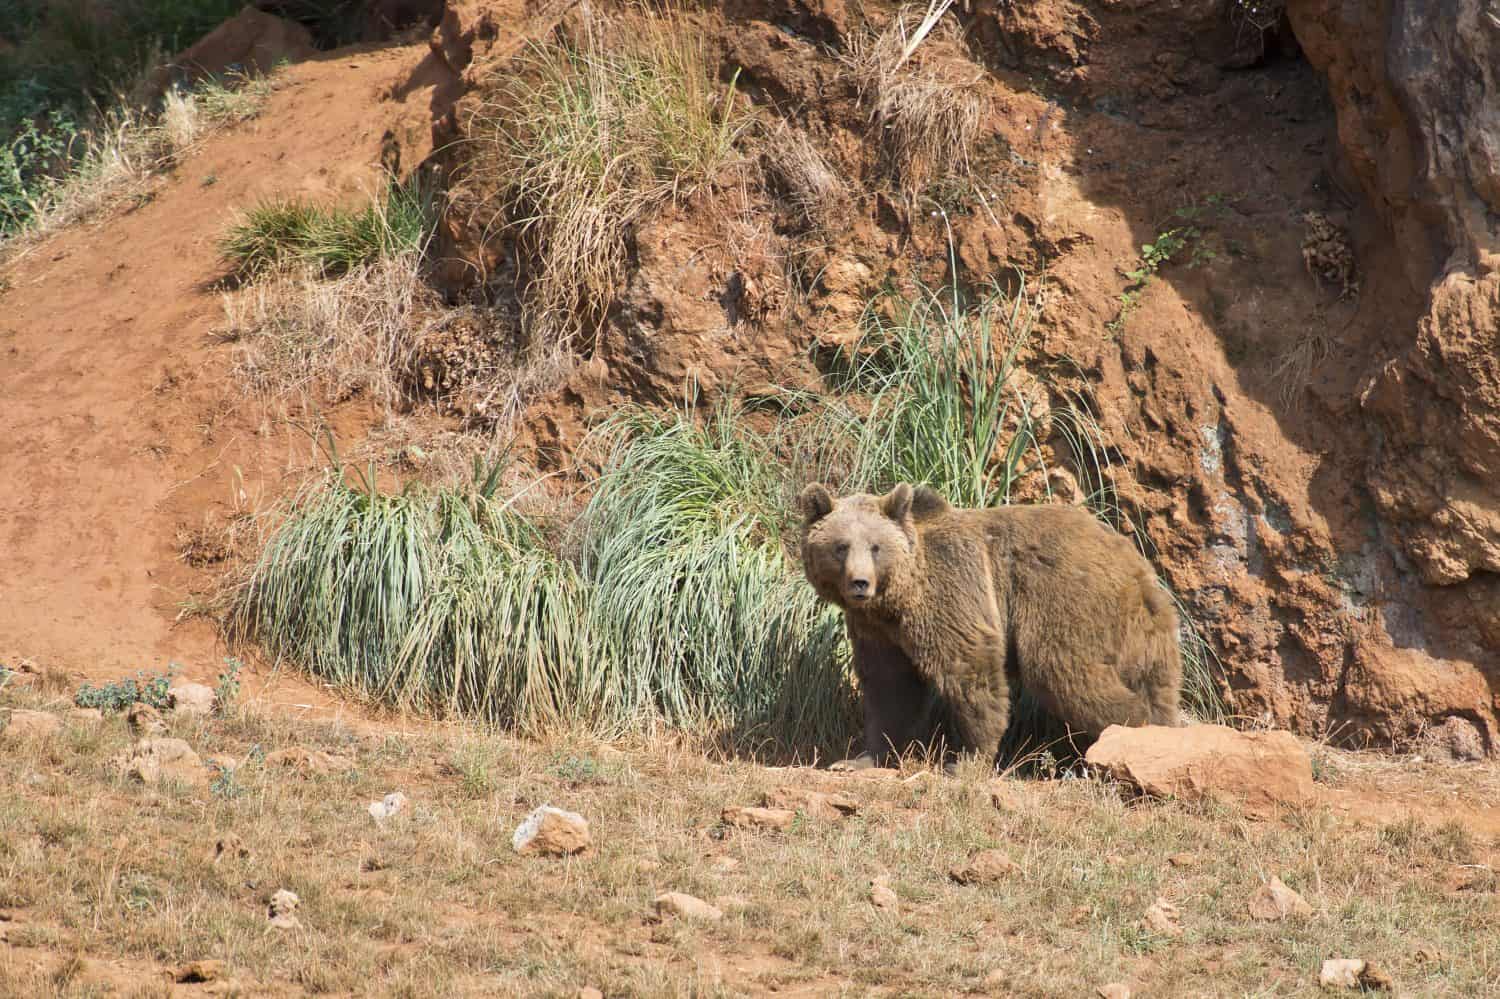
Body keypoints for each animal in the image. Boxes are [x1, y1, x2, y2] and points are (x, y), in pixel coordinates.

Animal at [798, 482, 1182, 771]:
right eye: (841, 547)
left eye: (875, 547)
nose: (860, 583)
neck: (897, 600)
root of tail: (1136, 563)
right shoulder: (878, 632)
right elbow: (889, 687)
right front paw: (858, 759)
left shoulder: (951, 591)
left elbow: (970, 668)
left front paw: (966, 759)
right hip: (1146, 632)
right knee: (1154, 680)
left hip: (1065, 600)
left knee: (1064, 672)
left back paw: (1131, 730)